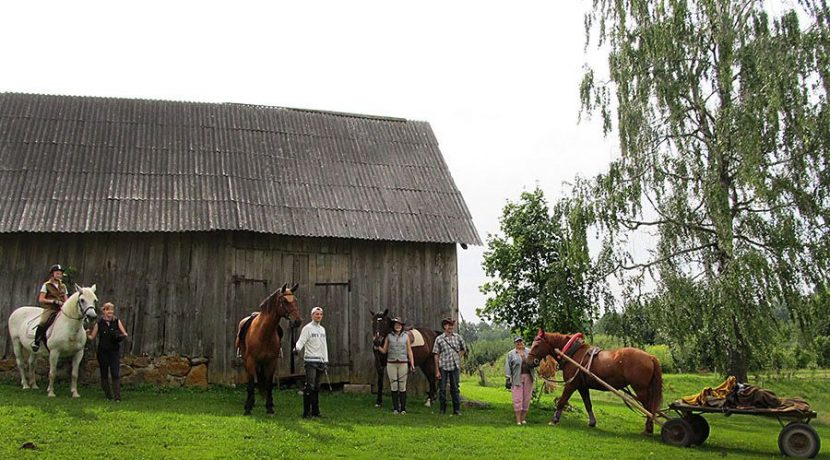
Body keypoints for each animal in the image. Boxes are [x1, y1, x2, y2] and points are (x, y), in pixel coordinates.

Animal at [237, 282, 302, 416]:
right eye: (284, 301)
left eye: (295, 300)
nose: (297, 321)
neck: (263, 333)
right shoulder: (250, 361)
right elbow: (251, 384)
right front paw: (247, 408)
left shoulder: (271, 362)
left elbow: (269, 385)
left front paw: (269, 407)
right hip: (247, 362)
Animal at [528, 328, 668, 434]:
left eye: (537, 345)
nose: (529, 362)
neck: (573, 353)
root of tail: (650, 357)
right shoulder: (582, 386)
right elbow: (587, 404)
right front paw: (592, 422)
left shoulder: (571, 384)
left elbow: (562, 401)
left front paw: (554, 420)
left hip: (641, 389)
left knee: (649, 408)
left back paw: (648, 429)